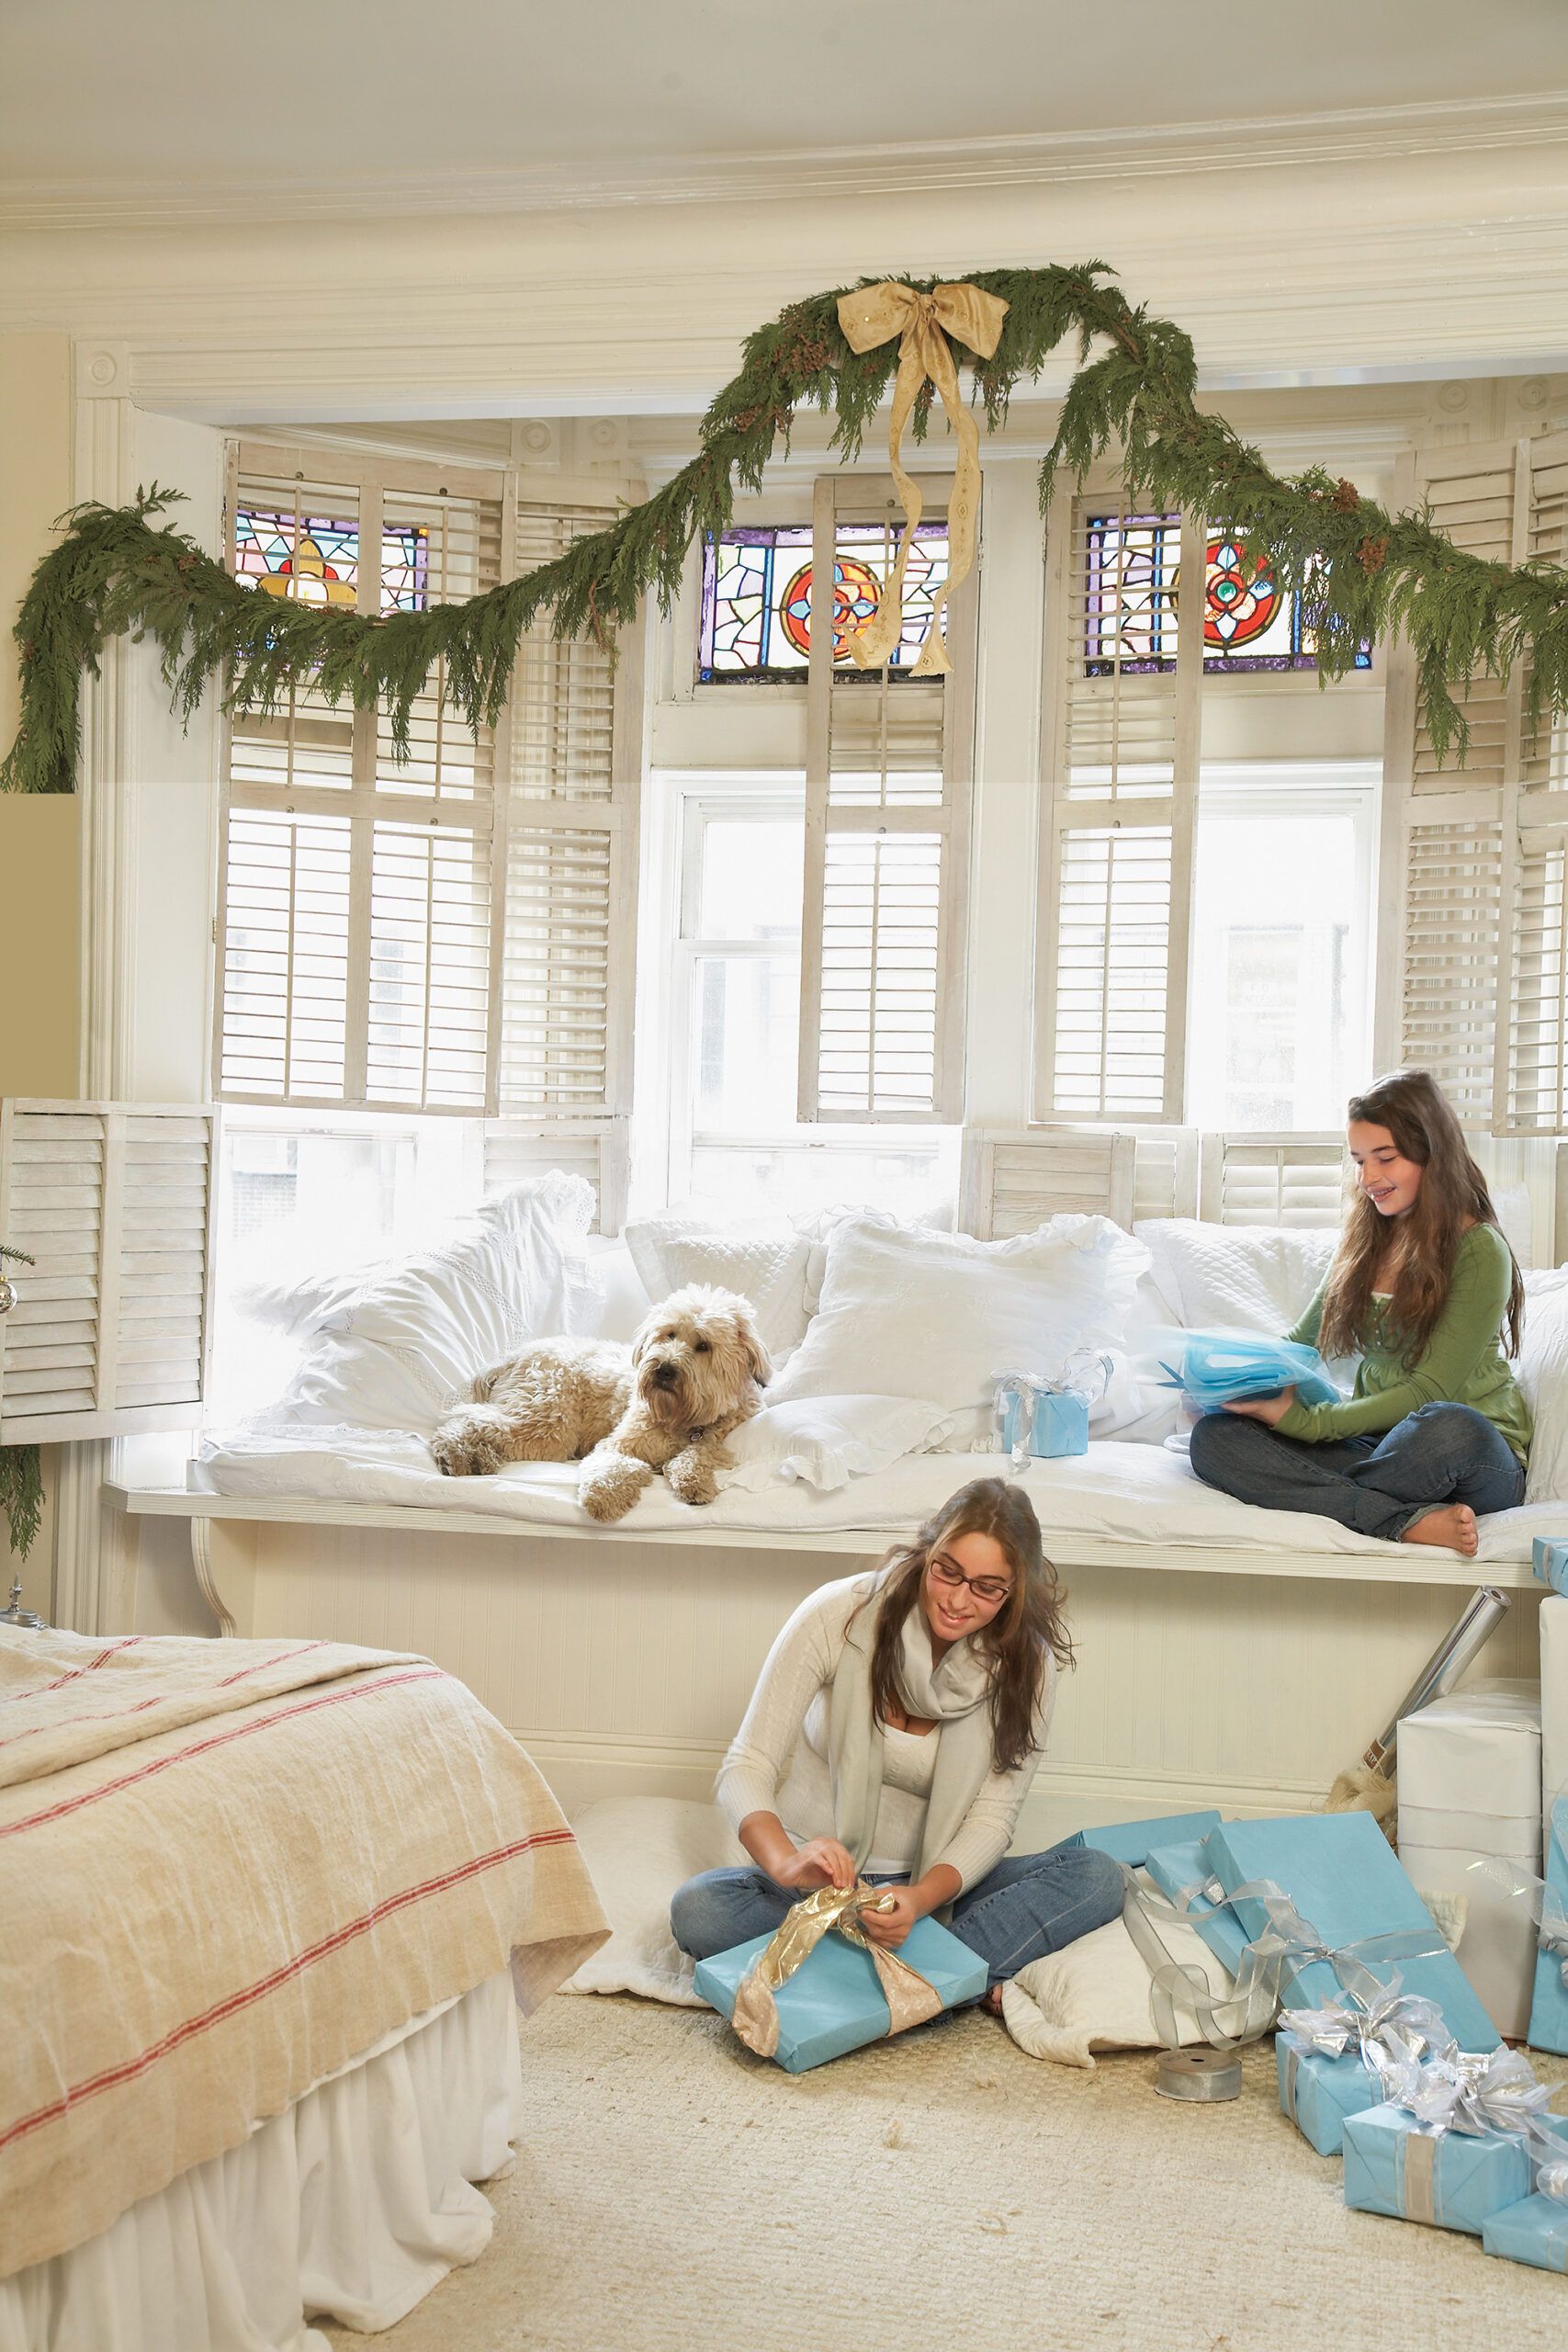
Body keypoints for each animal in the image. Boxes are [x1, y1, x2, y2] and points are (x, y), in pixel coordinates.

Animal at [430, 1288, 771, 1523]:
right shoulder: (619, 1444)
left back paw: (478, 1459)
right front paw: (603, 1499)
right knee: (467, 1418)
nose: (663, 1368)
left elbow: (698, 1455)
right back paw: (455, 1455)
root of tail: (514, 1356)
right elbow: (614, 1466)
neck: (683, 1419)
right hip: (546, 1421)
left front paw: (694, 1482)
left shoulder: (717, 1441)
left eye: (703, 1346)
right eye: (668, 1334)